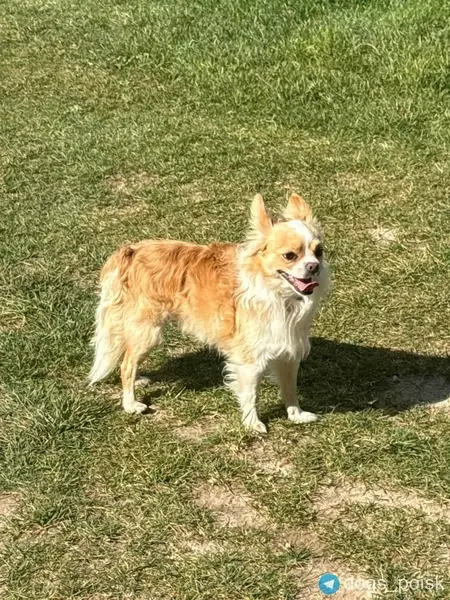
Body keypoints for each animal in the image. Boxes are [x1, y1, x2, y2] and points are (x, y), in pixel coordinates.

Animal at [89, 193, 330, 433]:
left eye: (319, 252)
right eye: (290, 256)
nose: (314, 266)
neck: (281, 297)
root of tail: (129, 251)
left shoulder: (288, 352)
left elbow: (290, 389)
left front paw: (296, 415)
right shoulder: (249, 360)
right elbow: (251, 394)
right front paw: (252, 423)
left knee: (129, 358)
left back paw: (138, 380)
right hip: (148, 331)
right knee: (126, 364)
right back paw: (130, 403)